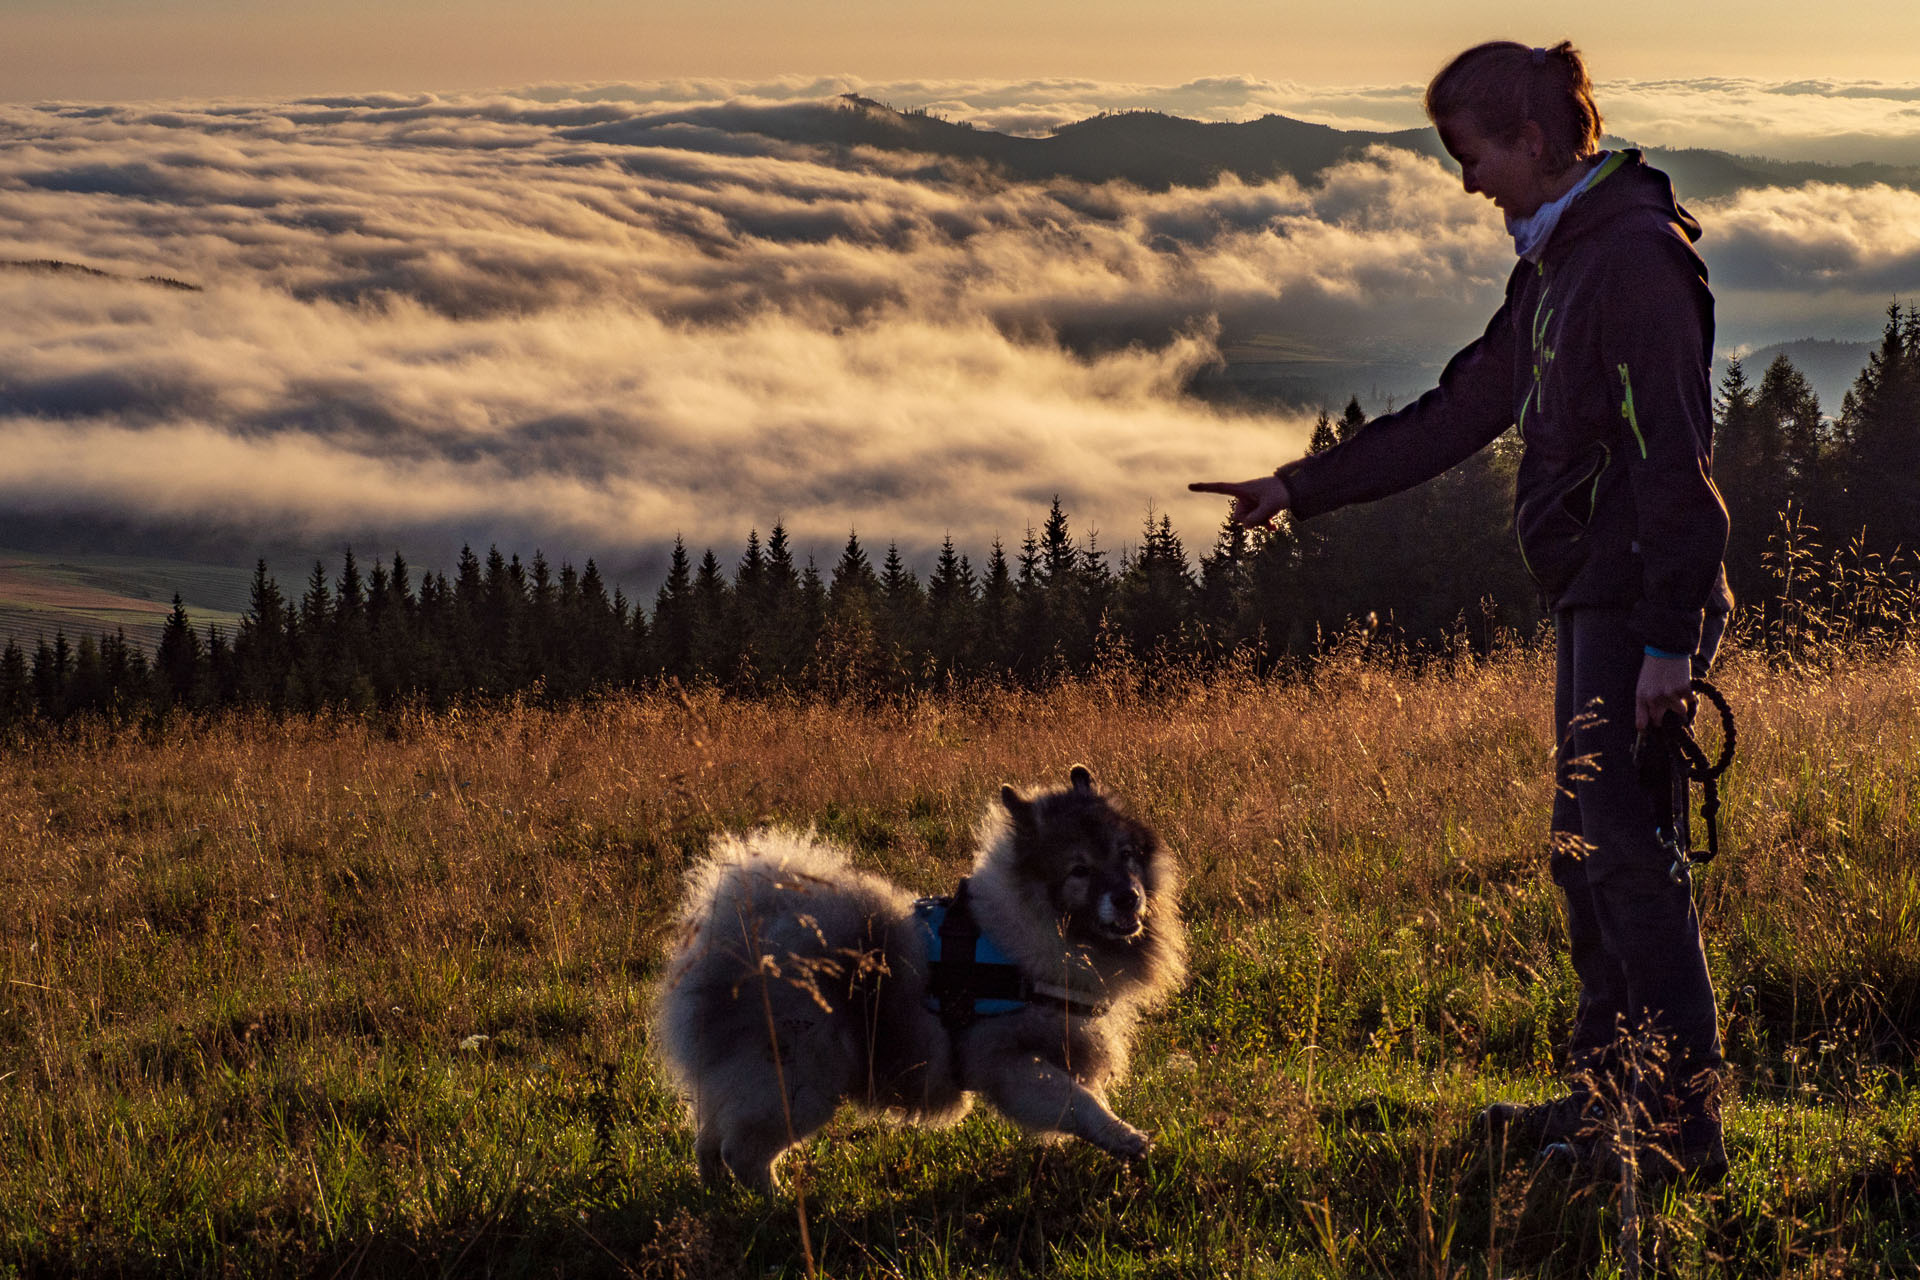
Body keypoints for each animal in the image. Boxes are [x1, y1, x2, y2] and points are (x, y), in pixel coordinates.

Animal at [652, 759, 1175, 1189]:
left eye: (1126, 855)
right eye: (1079, 870)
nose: (1127, 897)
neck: (1026, 937)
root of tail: (738, 932)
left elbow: (1083, 1095)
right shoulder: (1004, 1061)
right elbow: (1078, 1102)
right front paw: (1127, 1139)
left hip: (741, 1082)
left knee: (709, 1142)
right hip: (800, 1082)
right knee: (742, 1153)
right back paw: (778, 1207)